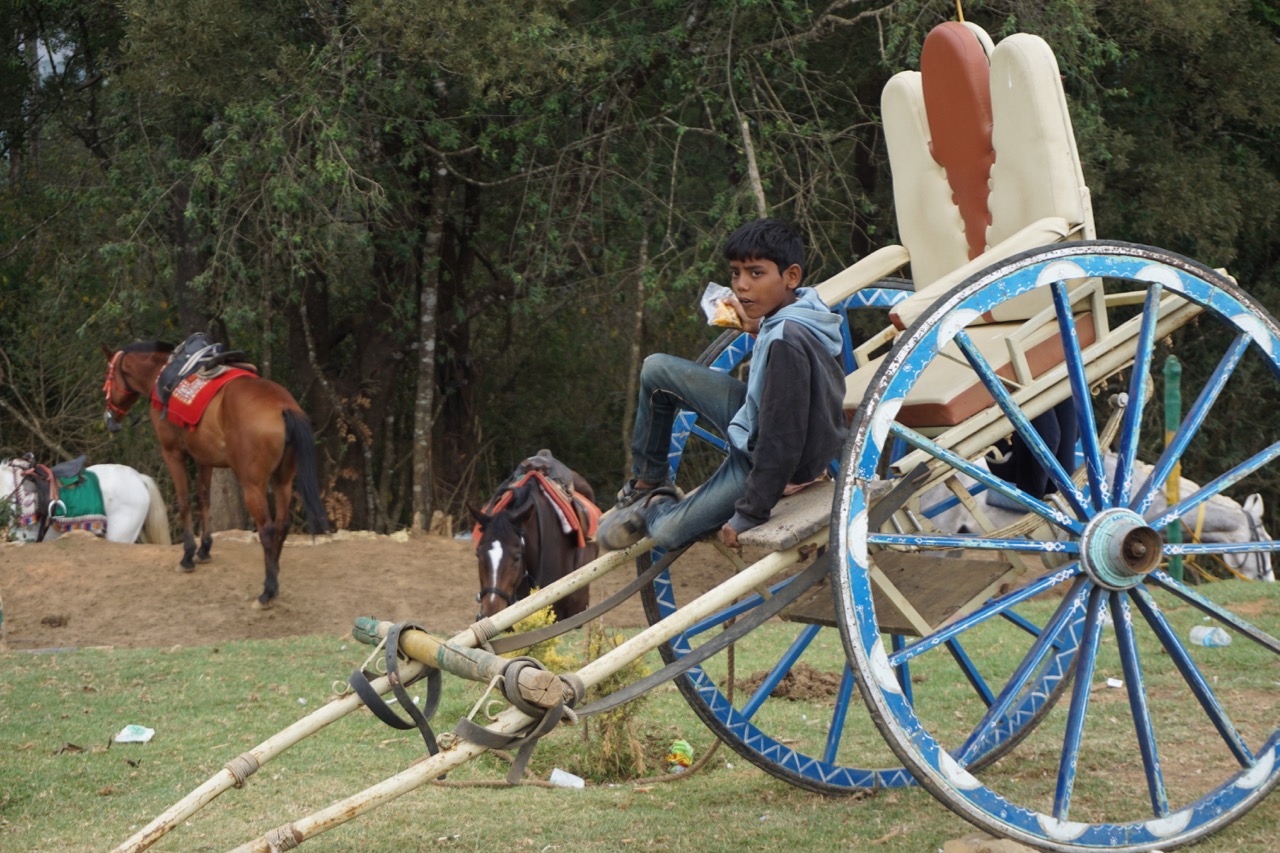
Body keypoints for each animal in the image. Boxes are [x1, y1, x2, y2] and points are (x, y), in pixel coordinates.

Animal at [101, 340, 328, 607]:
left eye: (107, 377)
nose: (109, 418)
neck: (163, 375)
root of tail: (283, 407)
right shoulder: (204, 459)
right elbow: (204, 499)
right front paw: (204, 549)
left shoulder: (173, 453)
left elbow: (184, 501)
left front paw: (188, 555)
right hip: (283, 481)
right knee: (282, 524)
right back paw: (274, 574)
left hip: (253, 484)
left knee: (267, 529)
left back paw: (268, 589)